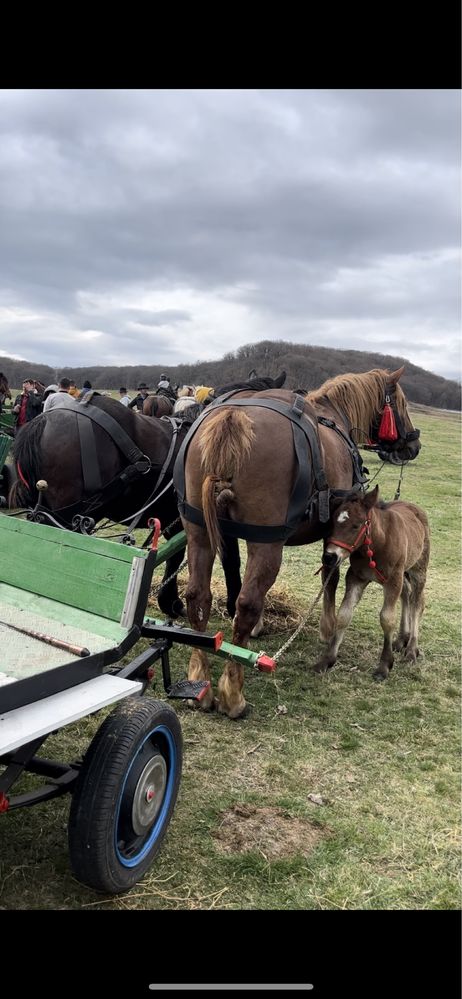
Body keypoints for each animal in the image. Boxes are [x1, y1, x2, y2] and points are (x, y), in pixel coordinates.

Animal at [318, 484, 430, 680]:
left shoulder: (393, 580)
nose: (330, 557)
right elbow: (344, 614)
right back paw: (401, 639)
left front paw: (384, 666)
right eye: (332, 523)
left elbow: (387, 619)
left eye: (356, 525)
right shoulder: (356, 577)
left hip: (418, 569)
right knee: (406, 595)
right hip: (404, 572)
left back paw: (411, 650)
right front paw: (328, 659)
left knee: (417, 603)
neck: (377, 544)